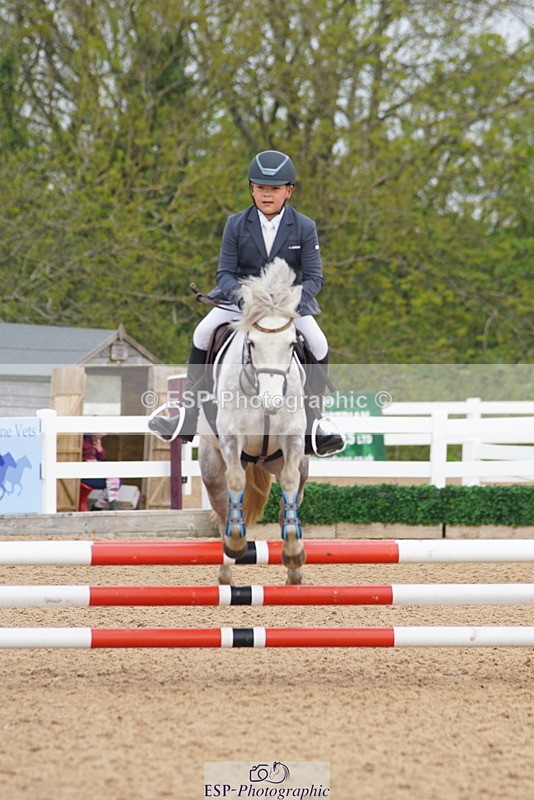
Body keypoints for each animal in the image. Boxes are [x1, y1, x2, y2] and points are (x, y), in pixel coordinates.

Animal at [198, 259, 309, 585]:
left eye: (292, 344)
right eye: (252, 343)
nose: (271, 403)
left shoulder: (294, 439)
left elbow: (289, 482)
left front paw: (294, 551)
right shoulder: (231, 438)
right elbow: (235, 481)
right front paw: (236, 542)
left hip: (293, 462)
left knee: (290, 500)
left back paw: (294, 572)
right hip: (211, 466)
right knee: (223, 508)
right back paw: (226, 567)